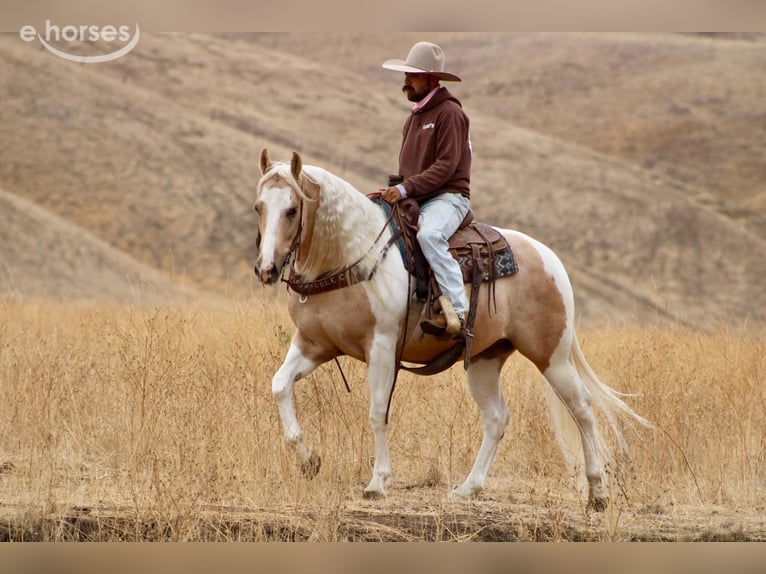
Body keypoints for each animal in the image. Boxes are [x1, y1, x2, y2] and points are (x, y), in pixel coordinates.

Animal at [253, 149, 649, 511]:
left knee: (582, 408)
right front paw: (309, 460)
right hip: (486, 359)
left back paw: (597, 493)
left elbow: (378, 412)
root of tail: (548, 257)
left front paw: (378, 483)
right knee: (496, 419)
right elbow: (279, 385)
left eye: (292, 210)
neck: (350, 255)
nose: (266, 268)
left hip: (552, 357)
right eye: (259, 207)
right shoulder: (313, 344)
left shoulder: (381, 348)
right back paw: (468, 488)